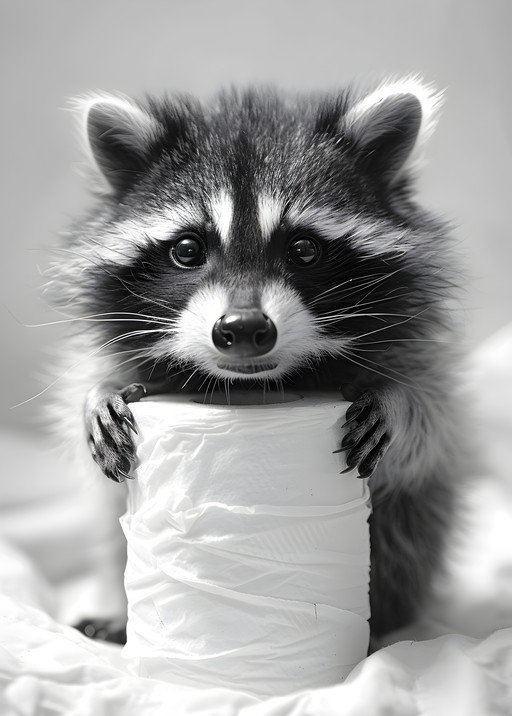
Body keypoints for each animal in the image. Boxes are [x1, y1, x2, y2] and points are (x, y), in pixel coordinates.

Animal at [49, 77, 465, 642]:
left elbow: (432, 428)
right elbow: (90, 409)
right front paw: (98, 395)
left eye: (304, 249)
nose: (244, 330)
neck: (255, 383)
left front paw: (396, 400)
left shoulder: (417, 350)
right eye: (187, 249)